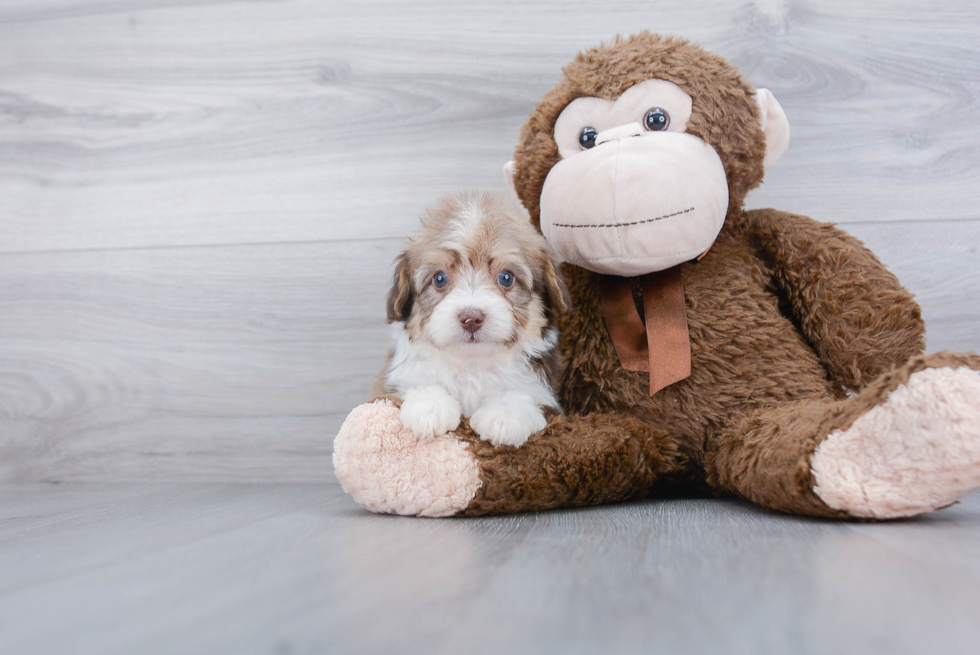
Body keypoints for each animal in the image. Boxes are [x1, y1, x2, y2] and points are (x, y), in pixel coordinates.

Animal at [378, 187, 576, 448]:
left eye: (506, 278)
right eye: (439, 279)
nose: (471, 318)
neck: (471, 364)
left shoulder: (549, 401)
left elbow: (524, 394)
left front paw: (504, 415)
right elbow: (418, 382)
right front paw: (429, 406)